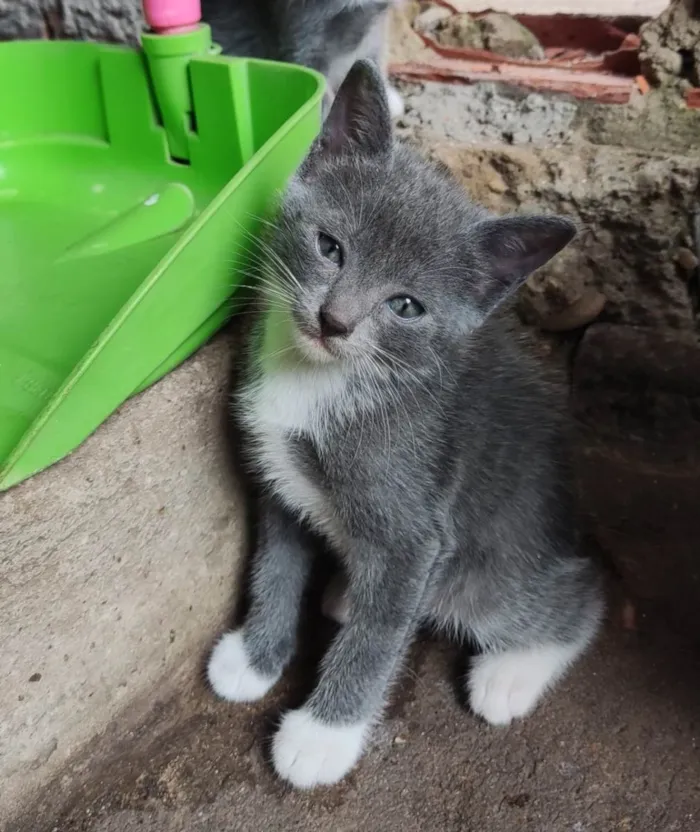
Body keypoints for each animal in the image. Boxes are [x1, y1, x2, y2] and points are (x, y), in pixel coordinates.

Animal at [206, 61, 600, 788]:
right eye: (329, 247)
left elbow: (380, 630)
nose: (334, 320)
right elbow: (275, 564)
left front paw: (322, 738)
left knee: (573, 596)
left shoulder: (413, 528)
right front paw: (254, 656)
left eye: (406, 305)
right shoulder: (281, 480)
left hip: (490, 568)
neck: (319, 379)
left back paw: (510, 673)